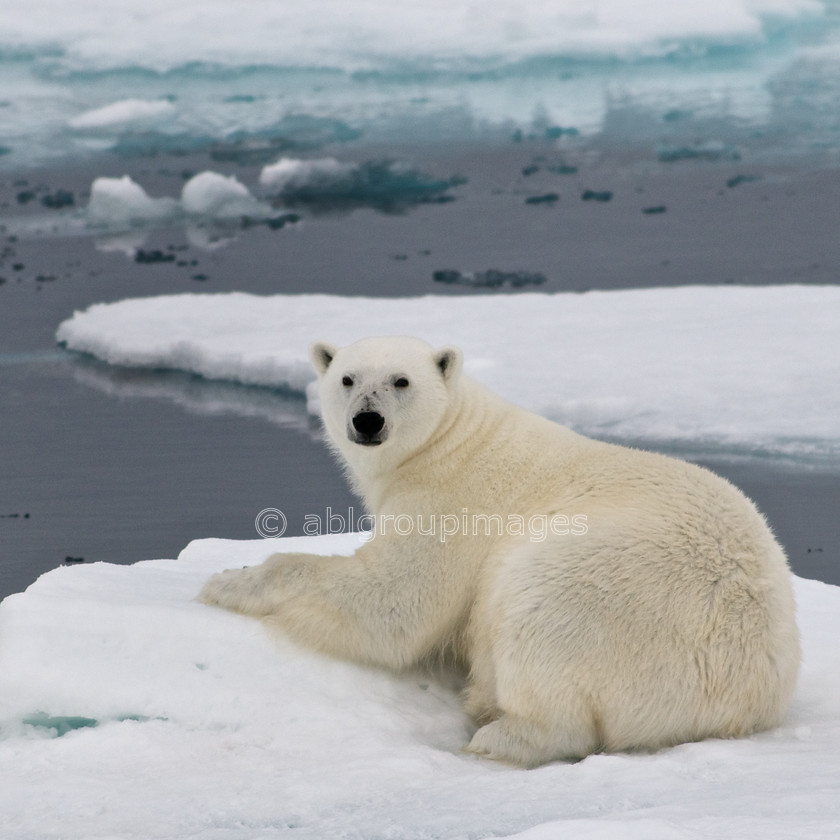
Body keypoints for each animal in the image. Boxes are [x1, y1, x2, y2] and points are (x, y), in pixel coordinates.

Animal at [199, 336, 800, 768]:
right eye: (346, 378)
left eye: (401, 380)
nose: (367, 420)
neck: (451, 439)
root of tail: (740, 697)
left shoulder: (452, 501)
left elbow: (396, 602)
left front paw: (228, 580)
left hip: (613, 591)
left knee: (537, 619)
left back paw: (498, 731)